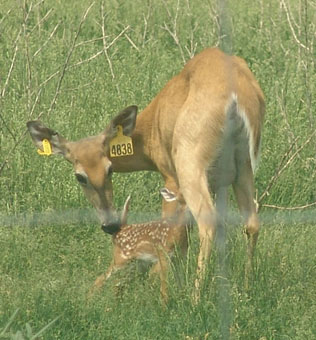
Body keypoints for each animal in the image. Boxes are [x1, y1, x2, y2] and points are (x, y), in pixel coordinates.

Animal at [26, 46, 264, 296]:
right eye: (80, 176)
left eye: (110, 169)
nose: (110, 225)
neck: (150, 135)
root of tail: (235, 98)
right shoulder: (219, 182)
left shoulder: (169, 175)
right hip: (243, 163)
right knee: (251, 222)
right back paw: (246, 287)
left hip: (189, 157)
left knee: (207, 223)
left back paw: (193, 296)